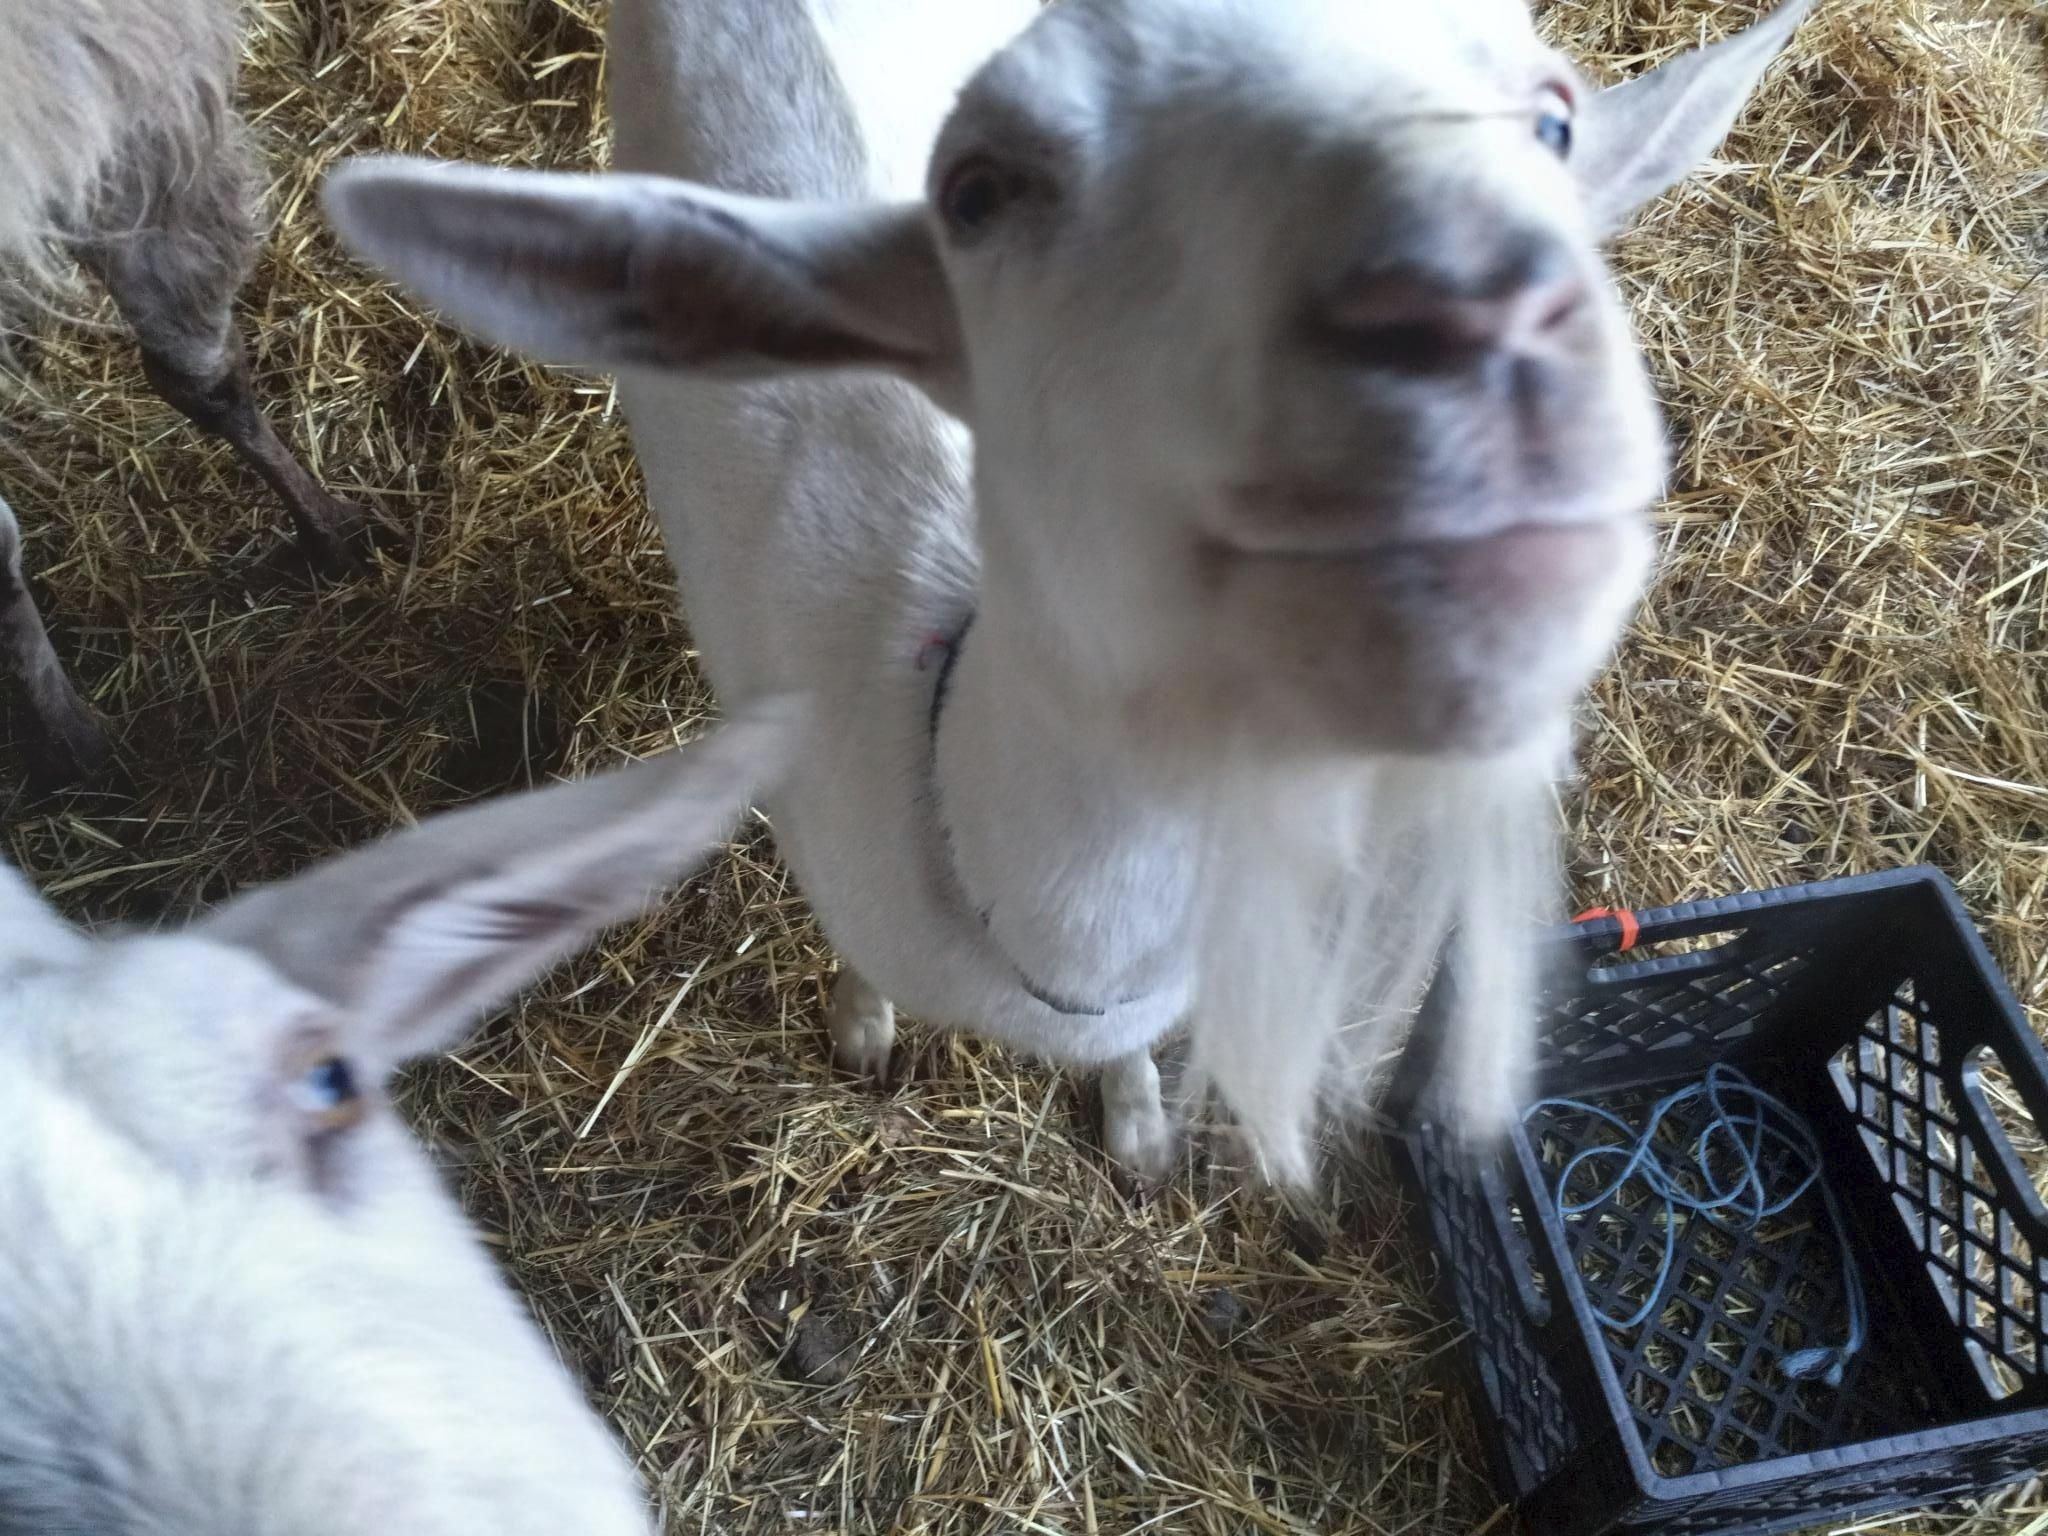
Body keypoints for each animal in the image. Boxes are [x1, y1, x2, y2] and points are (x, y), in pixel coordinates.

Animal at [324, 0, 1813, 1185]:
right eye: (978, 191)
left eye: (1553, 120)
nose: (1476, 302)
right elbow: (858, 969)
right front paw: (862, 1029)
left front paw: (1139, 1124)